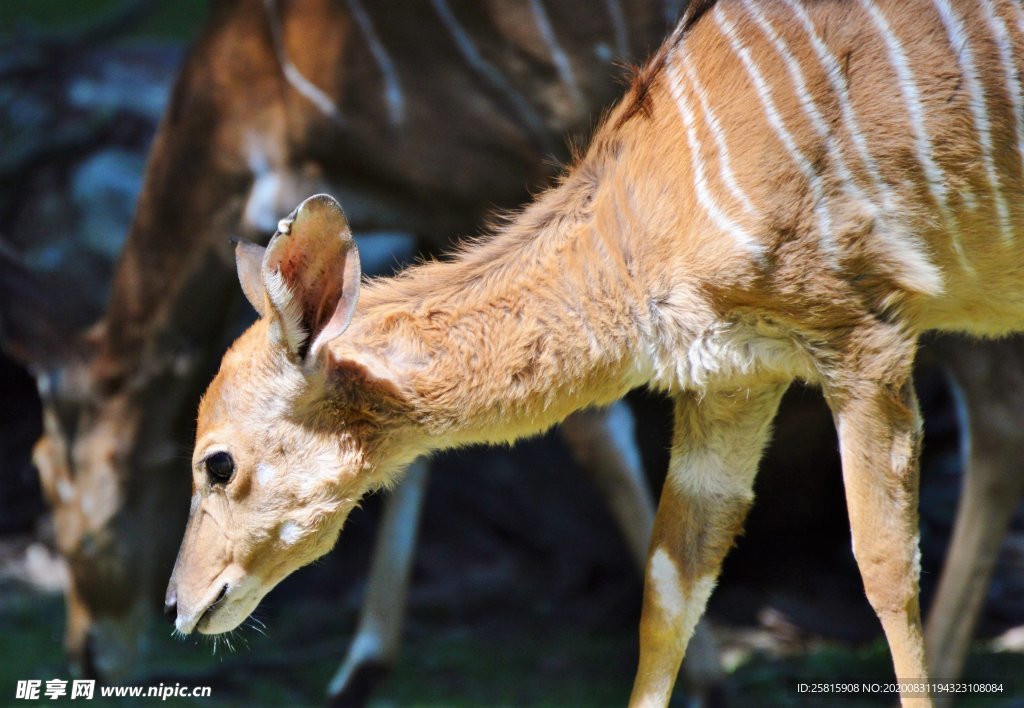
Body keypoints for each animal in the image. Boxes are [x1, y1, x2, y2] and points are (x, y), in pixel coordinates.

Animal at [163, 0, 1024, 704]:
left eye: (217, 462)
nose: (179, 604)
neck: (641, 221)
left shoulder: (864, 339)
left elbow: (885, 568)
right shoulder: (734, 381)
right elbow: (669, 587)